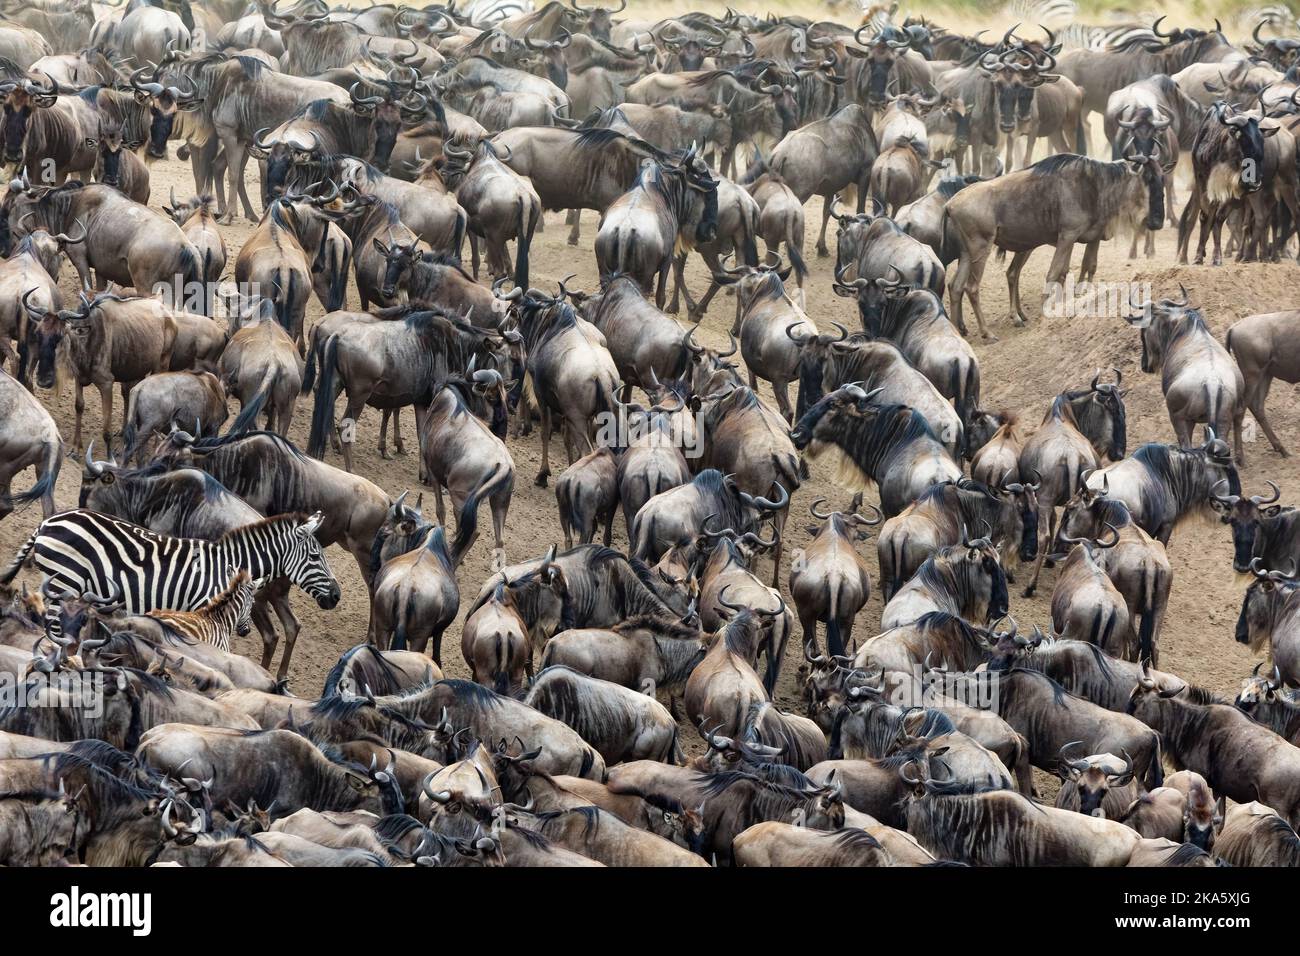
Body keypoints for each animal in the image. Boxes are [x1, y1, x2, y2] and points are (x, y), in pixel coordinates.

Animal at [0, 509, 343, 634]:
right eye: (316, 556)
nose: (337, 597)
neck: (226, 566)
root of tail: (49, 521)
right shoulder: (205, 609)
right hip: (64, 583)